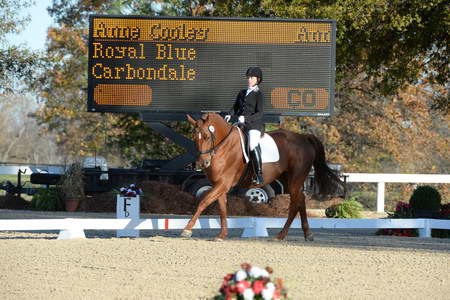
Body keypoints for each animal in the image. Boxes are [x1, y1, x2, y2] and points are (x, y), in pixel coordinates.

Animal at [181, 112, 342, 241]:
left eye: (207, 137)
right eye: (194, 138)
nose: (202, 163)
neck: (224, 147)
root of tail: (303, 137)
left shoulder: (223, 183)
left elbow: (203, 201)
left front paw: (187, 229)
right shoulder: (219, 184)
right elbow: (222, 209)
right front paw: (221, 235)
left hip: (295, 180)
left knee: (295, 204)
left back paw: (282, 235)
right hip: (287, 180)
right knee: (300, 201)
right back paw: (304, 234)